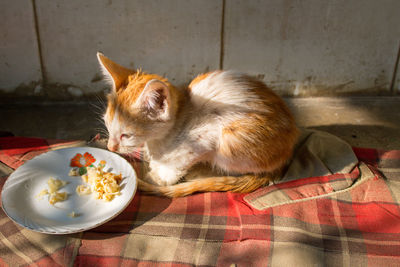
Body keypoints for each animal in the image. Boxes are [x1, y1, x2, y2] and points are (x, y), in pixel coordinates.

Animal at [97, 53, 296, 198]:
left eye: (126, 135)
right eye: (107, 125)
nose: (111, 147)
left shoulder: (206, 135)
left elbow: (178, 163)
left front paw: (157, 176)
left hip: (231, 141)